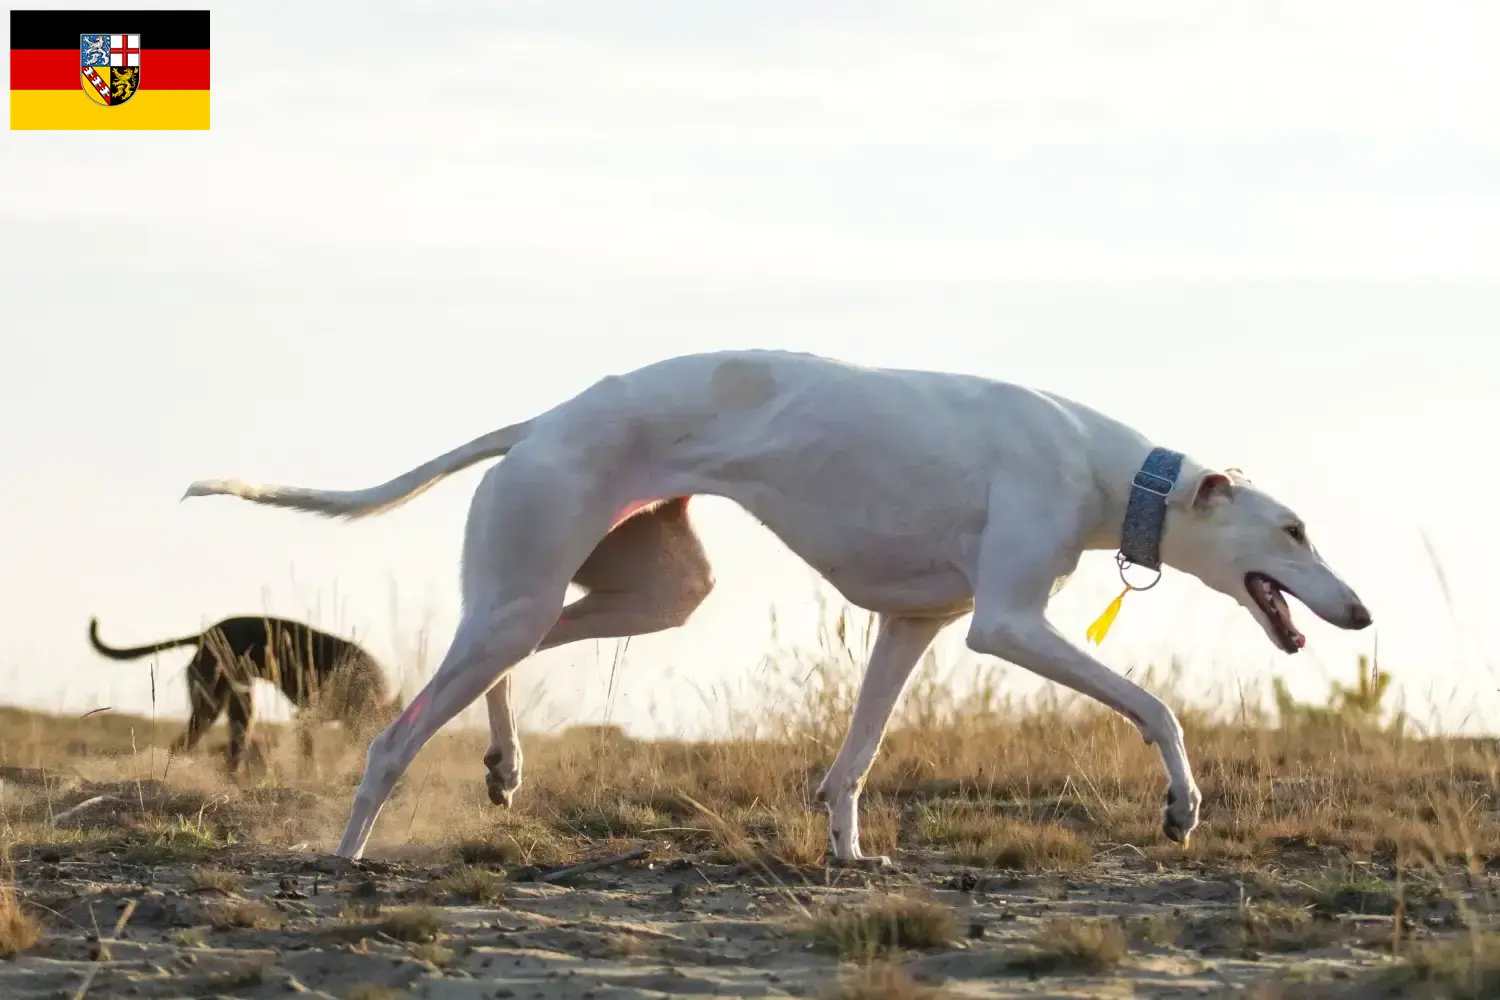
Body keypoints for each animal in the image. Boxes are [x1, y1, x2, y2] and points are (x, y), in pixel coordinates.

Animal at [90, 614, 402, 773]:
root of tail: (204, 635)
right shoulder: (306, 716)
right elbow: (307, 754)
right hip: (215, 706)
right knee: (186, 745)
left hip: (235, 707)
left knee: (221, 750)